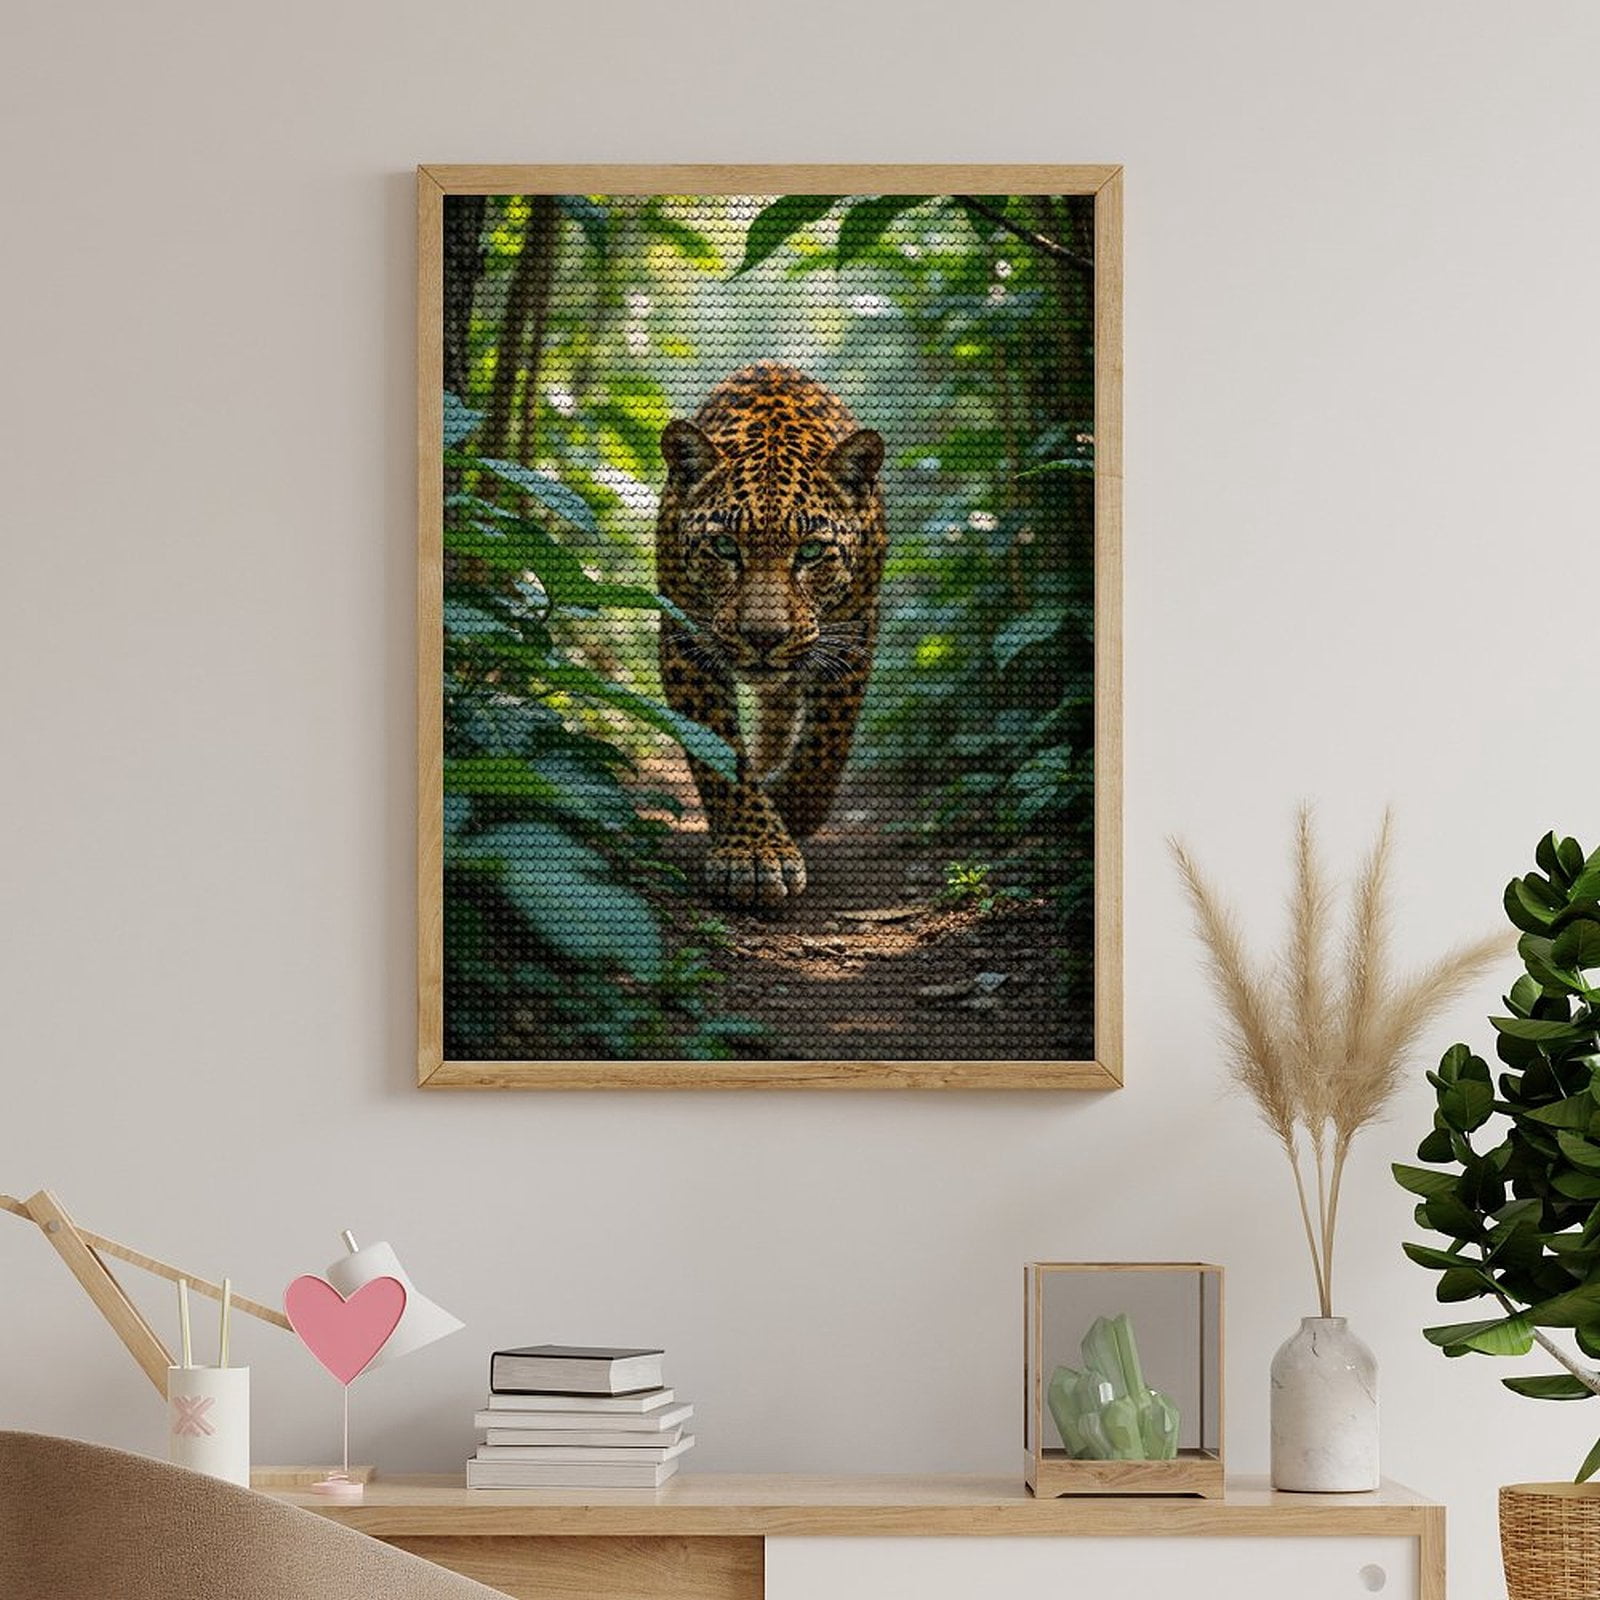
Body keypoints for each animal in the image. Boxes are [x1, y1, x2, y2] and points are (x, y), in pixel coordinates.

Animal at [655, 363, 887, 909]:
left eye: (811, 552)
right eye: (723, 547)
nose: (764, 637)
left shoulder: (853, 630)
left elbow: (827, 744)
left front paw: (790, 808)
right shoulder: (685, 638)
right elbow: (720, 750)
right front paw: (754, 850)